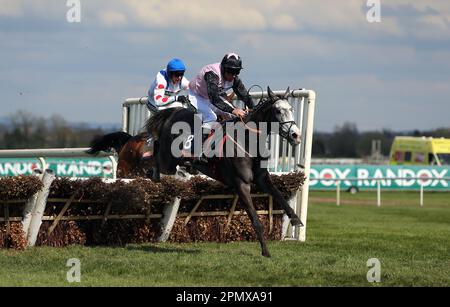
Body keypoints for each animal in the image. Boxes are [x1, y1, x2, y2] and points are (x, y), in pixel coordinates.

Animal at [148, 86, 302, 258]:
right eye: (277, 111)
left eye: (291, 109)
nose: (296, 135)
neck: (248, 141)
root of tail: (174, 112)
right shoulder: (241, 184)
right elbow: (256, 220)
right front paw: (265, 251)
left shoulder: (262, 178)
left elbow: (280, 196)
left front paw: (296, 219)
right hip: (167, 159)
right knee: (156, 158)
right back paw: (154, 172)